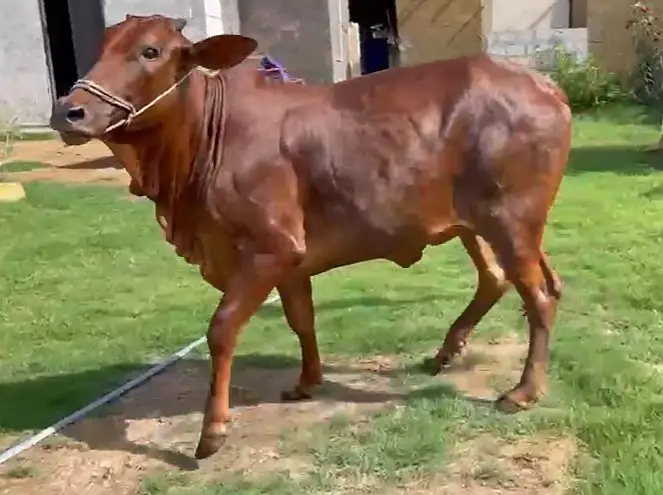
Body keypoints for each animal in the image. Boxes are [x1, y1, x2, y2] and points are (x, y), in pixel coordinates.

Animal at [49, 14, 571, 461]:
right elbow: (302, 319)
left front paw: (212, 432)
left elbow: (222, 329)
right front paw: (307, 381)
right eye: (102, 46)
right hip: (475, 225)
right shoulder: (290, 260)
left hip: (511, 221)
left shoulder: (269, 247)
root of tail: (545, 86)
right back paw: (445, 353)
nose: (69, 111)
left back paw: (523, 391)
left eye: (150, 51)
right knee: (499, 279)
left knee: (539, 296)